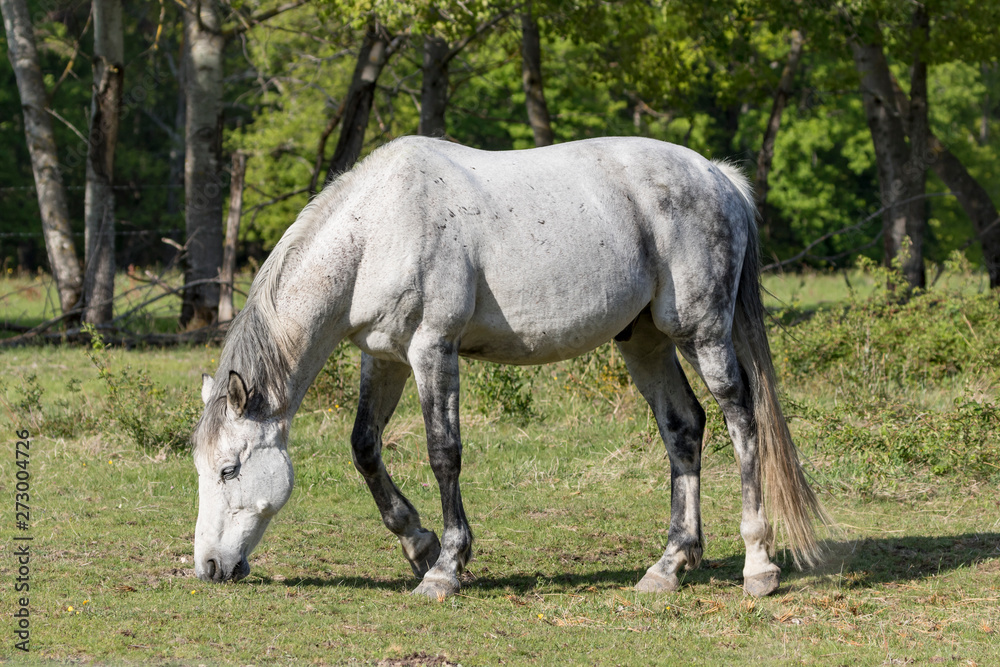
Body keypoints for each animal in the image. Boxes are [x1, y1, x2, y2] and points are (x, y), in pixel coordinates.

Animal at [191, 136, 824, 600]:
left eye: (228, 469)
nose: (209, 567)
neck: (377, 229)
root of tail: (717, 175)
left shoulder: (433, 350)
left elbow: (444, 454)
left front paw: (445, 567)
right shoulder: (384, 357)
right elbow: (364, 448)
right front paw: (417, 543)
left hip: (702, 334)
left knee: (742, 420)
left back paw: (758, 566)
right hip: (644, 341)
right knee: (684, 427)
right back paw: (669, 565)